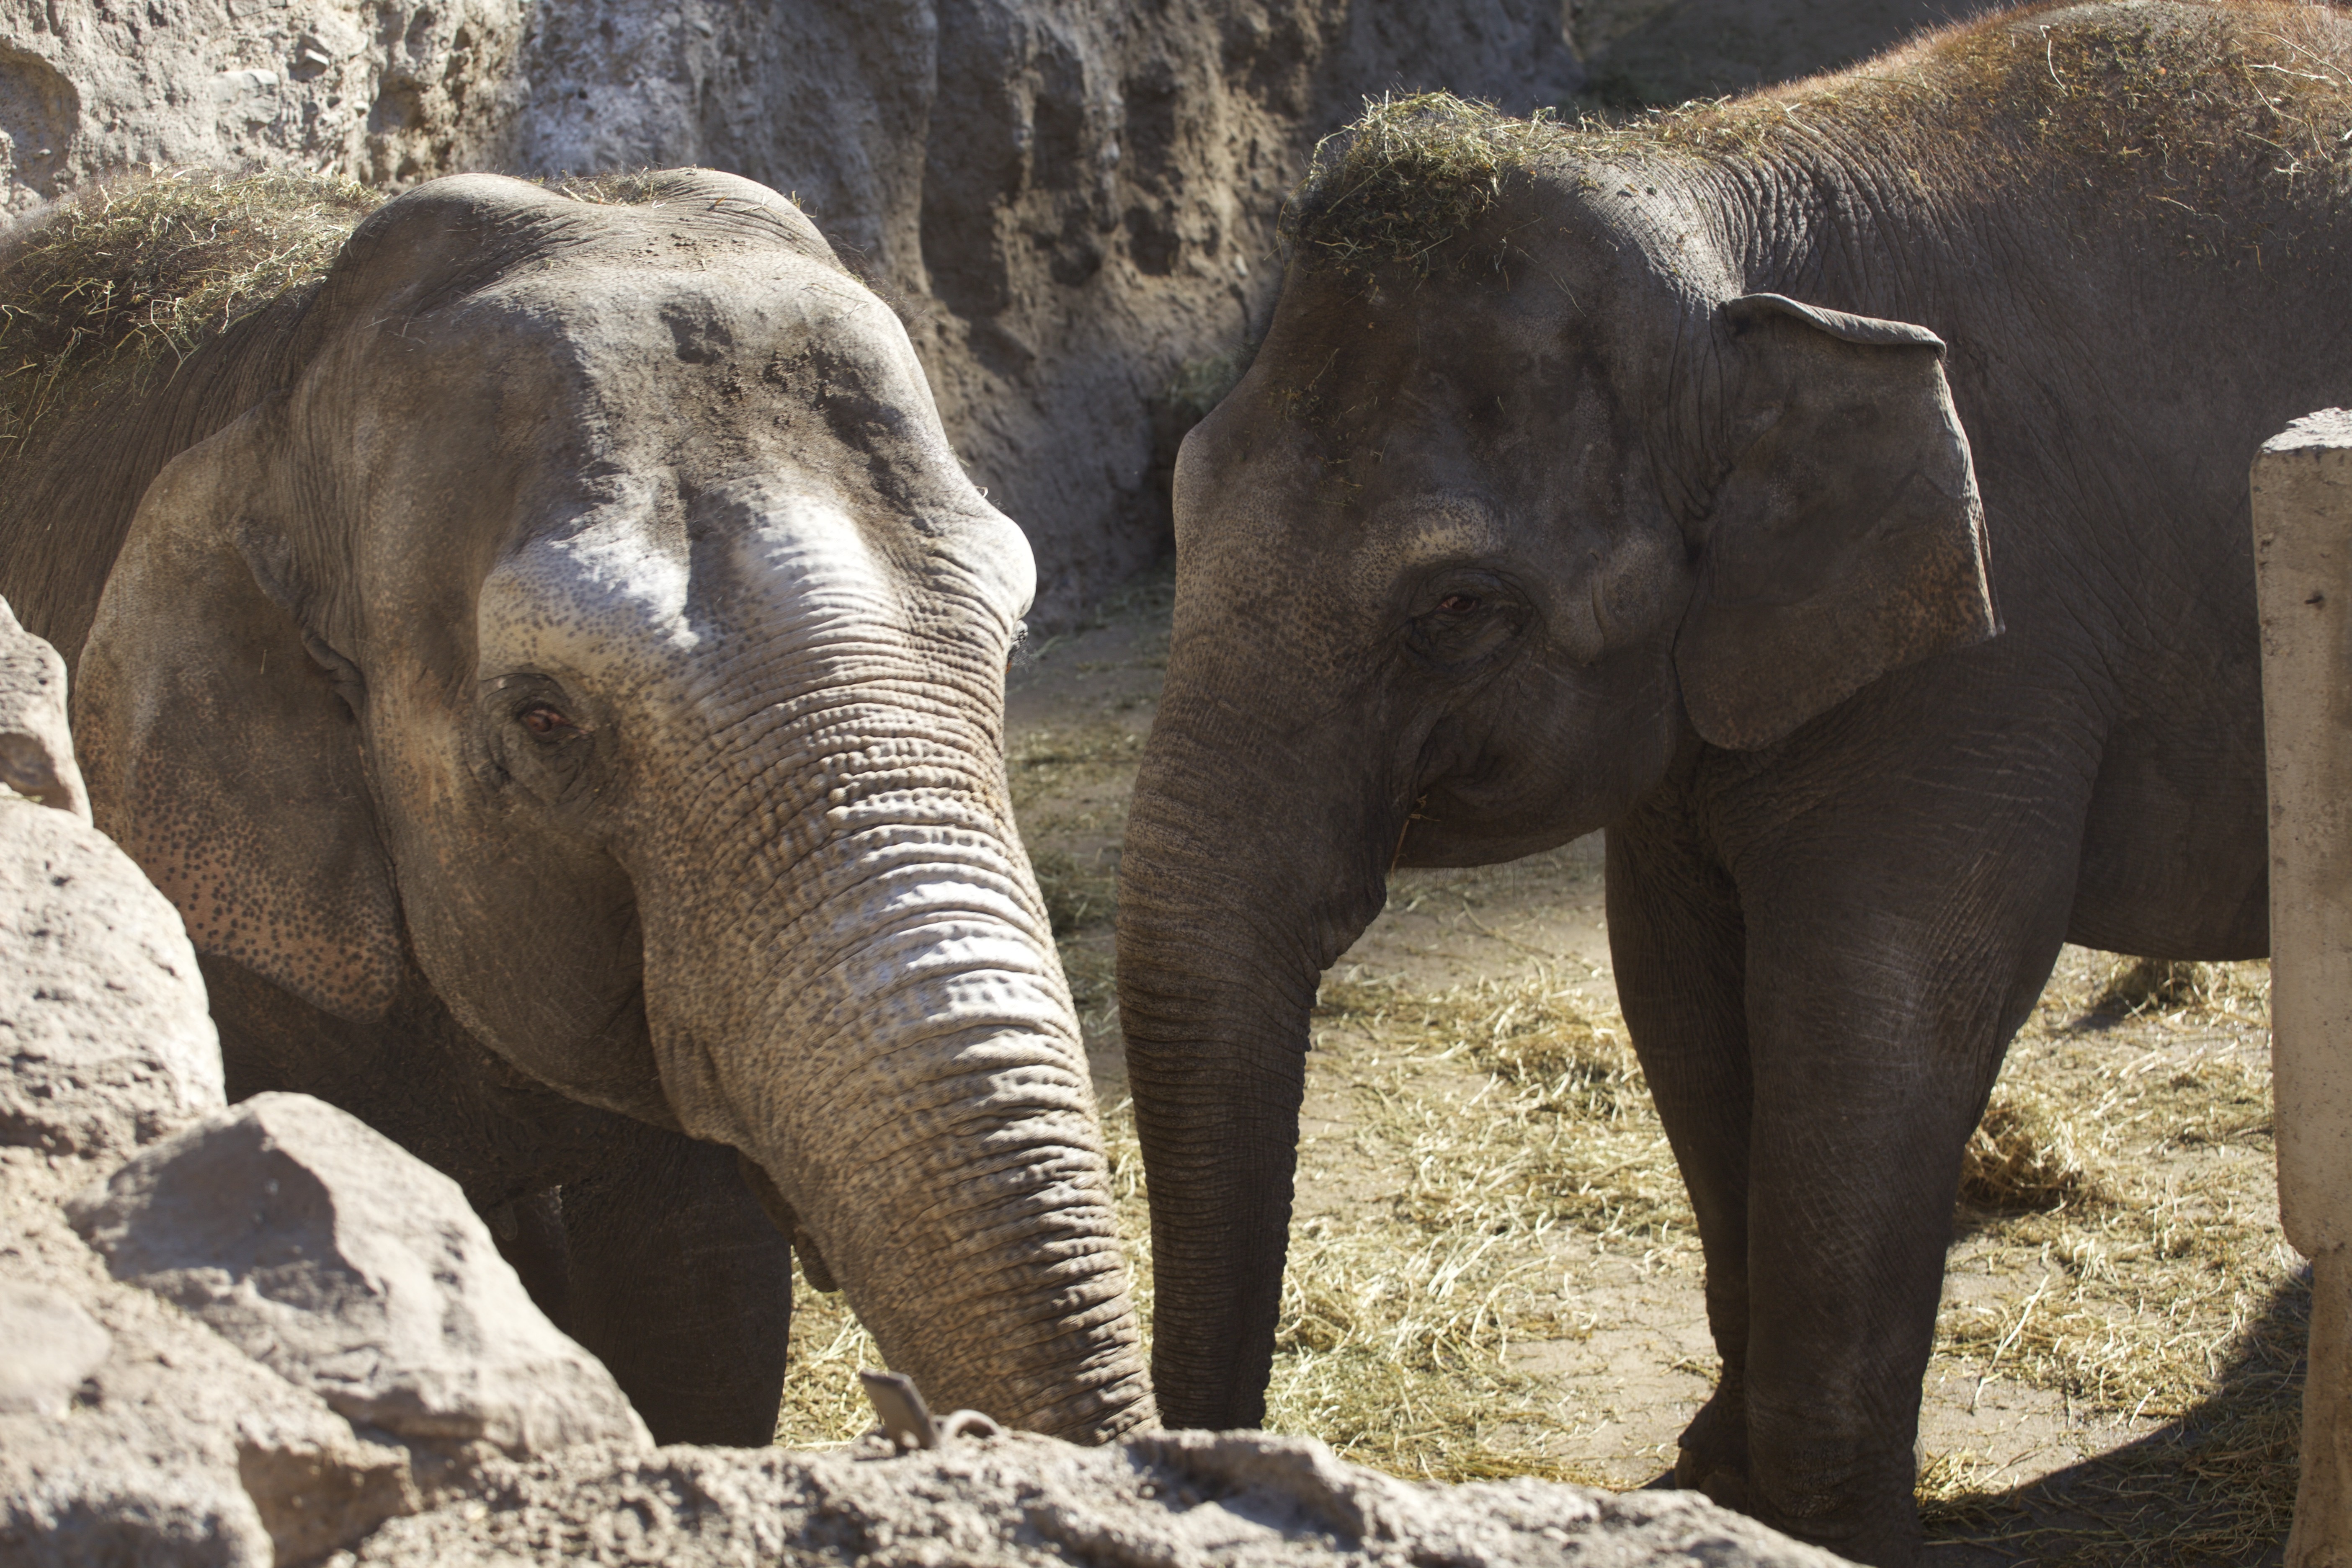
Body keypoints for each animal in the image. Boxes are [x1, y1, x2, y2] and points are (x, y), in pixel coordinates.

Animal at [1110, 6, 2342, 1561]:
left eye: (1457, 608)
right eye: (1182, 500)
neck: (1721, 202)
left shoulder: (1990, 651)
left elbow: (1878, 1013)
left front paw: (1822, 1526)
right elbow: (1678, 985)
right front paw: (1711, 1474)